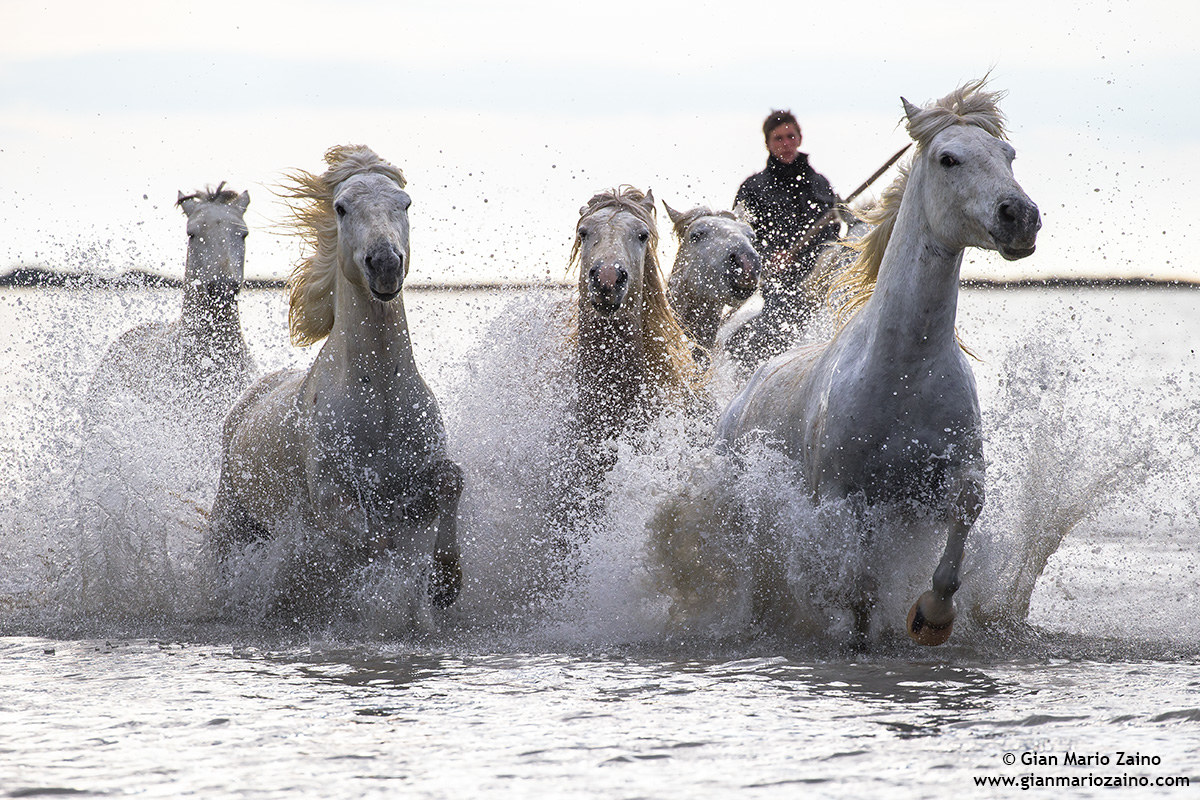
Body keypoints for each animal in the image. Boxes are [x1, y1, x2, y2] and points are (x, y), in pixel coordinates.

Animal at [209, 145, 463, 625]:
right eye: (341, 207)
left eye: (405, 204)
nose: (385, 264)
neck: (381, 396)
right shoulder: (331, 498)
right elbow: (371, 540)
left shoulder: (424, 473)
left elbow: (450, 483)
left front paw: (444, 583)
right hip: (231, 517)